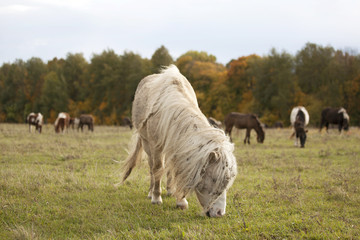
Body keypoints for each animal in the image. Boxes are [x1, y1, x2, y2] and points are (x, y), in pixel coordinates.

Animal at [122, 64, 238, 217]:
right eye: (214, 180)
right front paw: (156, 198)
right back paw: (151, 193)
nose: (219, 213)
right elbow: (157, 168)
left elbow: (177, 170)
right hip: (147, 143)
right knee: (153, 167)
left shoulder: (179, 145)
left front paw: (180, 201)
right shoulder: (156, 146)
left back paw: (170, 191)